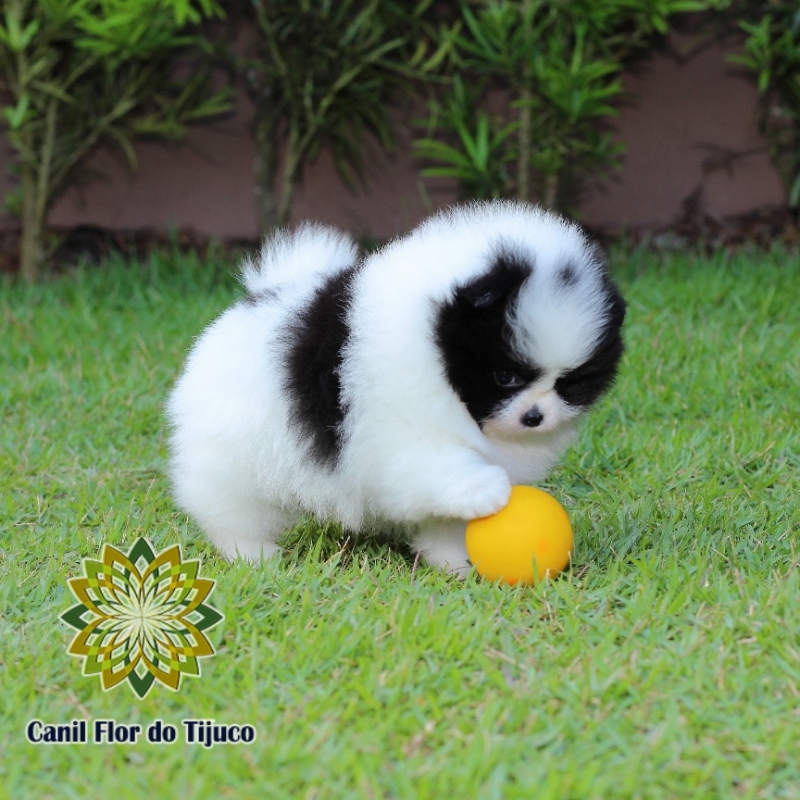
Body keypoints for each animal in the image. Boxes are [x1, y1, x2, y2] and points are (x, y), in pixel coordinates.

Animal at [169, 200, 628, 576]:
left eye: (570, 382)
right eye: (505, 377)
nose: (535, 417)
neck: (432, 345)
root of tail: (260, 297)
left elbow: (444, 521)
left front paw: (451, 562)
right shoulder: (391, 436)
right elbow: (430, 465)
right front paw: (484, 489)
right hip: (235, 457)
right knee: (233, 511)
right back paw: (253, 555)